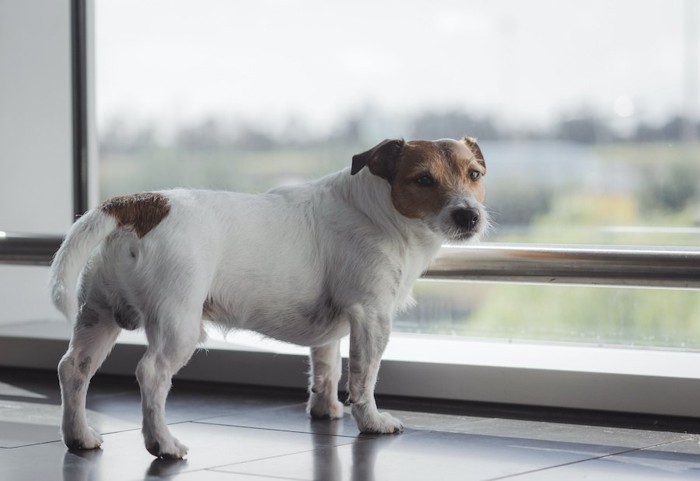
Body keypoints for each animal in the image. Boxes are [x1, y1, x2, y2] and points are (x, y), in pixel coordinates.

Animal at [47, 135, 486, 458]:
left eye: (474, 173)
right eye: (423, 179)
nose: (469, 216)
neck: (377, 211)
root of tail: (136, 205)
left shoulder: (332, 330)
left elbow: (326, 369)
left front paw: (326, 411)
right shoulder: (372, 316)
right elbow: (364, 378)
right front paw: (372, 422)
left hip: (97, 315)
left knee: (74, 368)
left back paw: (79, 436)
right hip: (178, 325)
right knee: (151, 373)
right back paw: (163, 444)